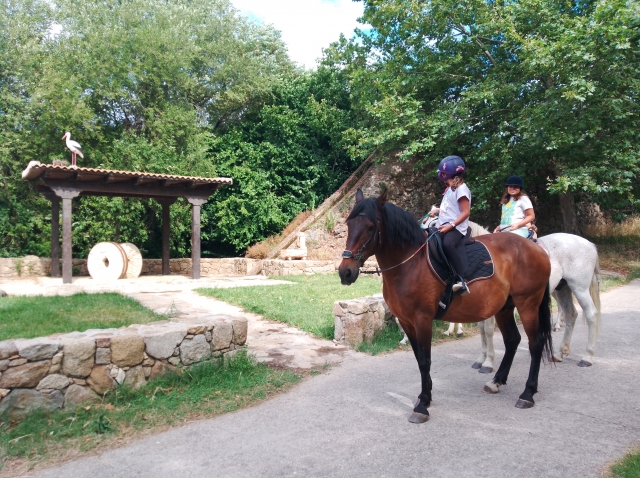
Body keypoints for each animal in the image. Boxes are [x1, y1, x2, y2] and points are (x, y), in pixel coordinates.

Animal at [339, 189, 553, 423]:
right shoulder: (406, 321)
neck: (410, 264)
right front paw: (425, 396)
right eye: (349, 224)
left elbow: (425, 360)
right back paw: (495, 382)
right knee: (513, 340)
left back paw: (527, 393)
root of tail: (537, 248)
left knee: (535, 343)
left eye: (370, 227)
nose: (345, 272)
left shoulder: (422, 319)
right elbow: (419, 358)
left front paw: (422, 406)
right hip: (505, 308)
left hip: (527, 304)